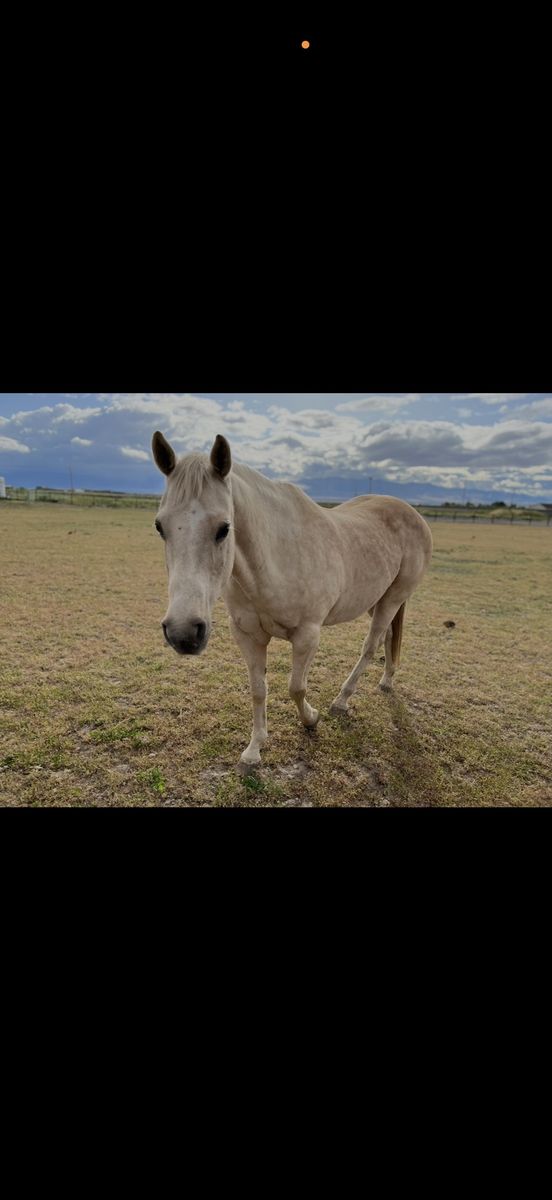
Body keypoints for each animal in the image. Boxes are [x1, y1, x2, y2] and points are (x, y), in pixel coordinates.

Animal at [152, 431, 433, 768]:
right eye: (160, 526)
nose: (183, 633)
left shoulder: (307, 635)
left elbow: (296, 687)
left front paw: (311, 719)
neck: (274, 560)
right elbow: (258, 690)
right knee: (390, 636)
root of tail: (412, 513)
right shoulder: (248, 636)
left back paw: (342, 700)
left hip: (393, 598)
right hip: (376, 600)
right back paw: (387, 680)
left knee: (371, 645)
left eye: (224, 528)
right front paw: (254, 749)